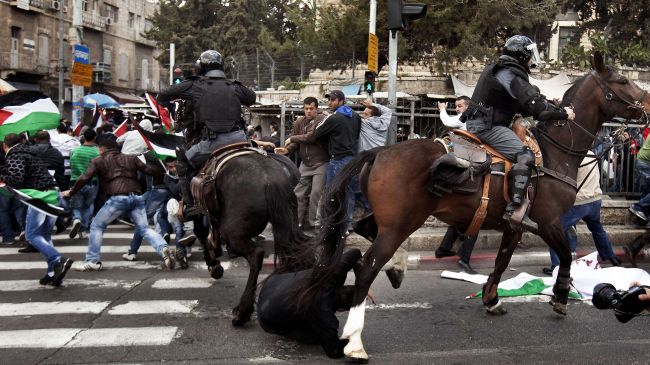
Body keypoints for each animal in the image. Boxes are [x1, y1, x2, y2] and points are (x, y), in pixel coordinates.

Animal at [294, 52, 648, 362]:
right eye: (621, 81)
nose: (646, 103)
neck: (555, 152)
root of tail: (378, 152)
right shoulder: (549, 221)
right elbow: (564, 254)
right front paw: (560, 296)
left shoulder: (514, 226)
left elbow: (503, 262)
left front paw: (491, 298)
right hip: (398, 225)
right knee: (366, 267)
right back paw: (355, 340)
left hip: (393, 222)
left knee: (363, 229)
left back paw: (398, 267)